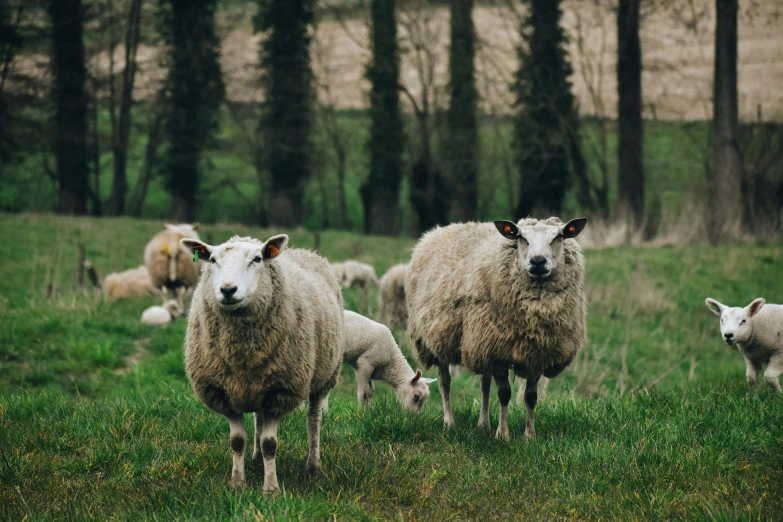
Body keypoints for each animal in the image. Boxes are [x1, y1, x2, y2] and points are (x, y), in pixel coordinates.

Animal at [184, 234, 346, 490]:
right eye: (212, 259)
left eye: (257, 259)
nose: (228, 290)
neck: (242, 352)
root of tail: (305, 251)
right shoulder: (224, 392)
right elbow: (237, 441)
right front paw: (237, 484)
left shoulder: (280, 391)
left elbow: (270, 444)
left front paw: (271, 488)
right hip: (258, 382)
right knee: (258, 418)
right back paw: (257, 458)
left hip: (325, 376)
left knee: (314, 419)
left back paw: (313, 467)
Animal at [404, 215, 588, 438]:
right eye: (521, 238)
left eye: (559, 237)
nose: (538, 261)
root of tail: (439, 230)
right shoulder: (499, 354)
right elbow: (504, 394)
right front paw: (503, 434)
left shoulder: (536, 355)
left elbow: (530, 397)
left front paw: (529, 435)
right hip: (438, 339)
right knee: (445, 383)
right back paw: (450, 422)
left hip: (481, 343)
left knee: (484, 384)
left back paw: (483, 424)